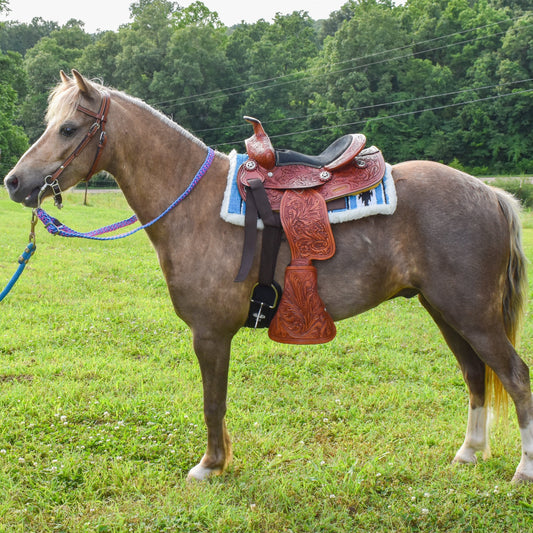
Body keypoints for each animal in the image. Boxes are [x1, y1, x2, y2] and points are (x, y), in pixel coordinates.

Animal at [4, 70, 532, 482]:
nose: (14, 181)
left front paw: (210, 465)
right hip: (445, 309)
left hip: (473, 314)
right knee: (475, 374)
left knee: (515, 376)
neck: (194, 205)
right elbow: (215, 400)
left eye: (69, 128)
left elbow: (212, 401)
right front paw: (219, 462)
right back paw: (468, 453)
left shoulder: (210, 333)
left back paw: (523, 470)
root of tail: (492, 194)